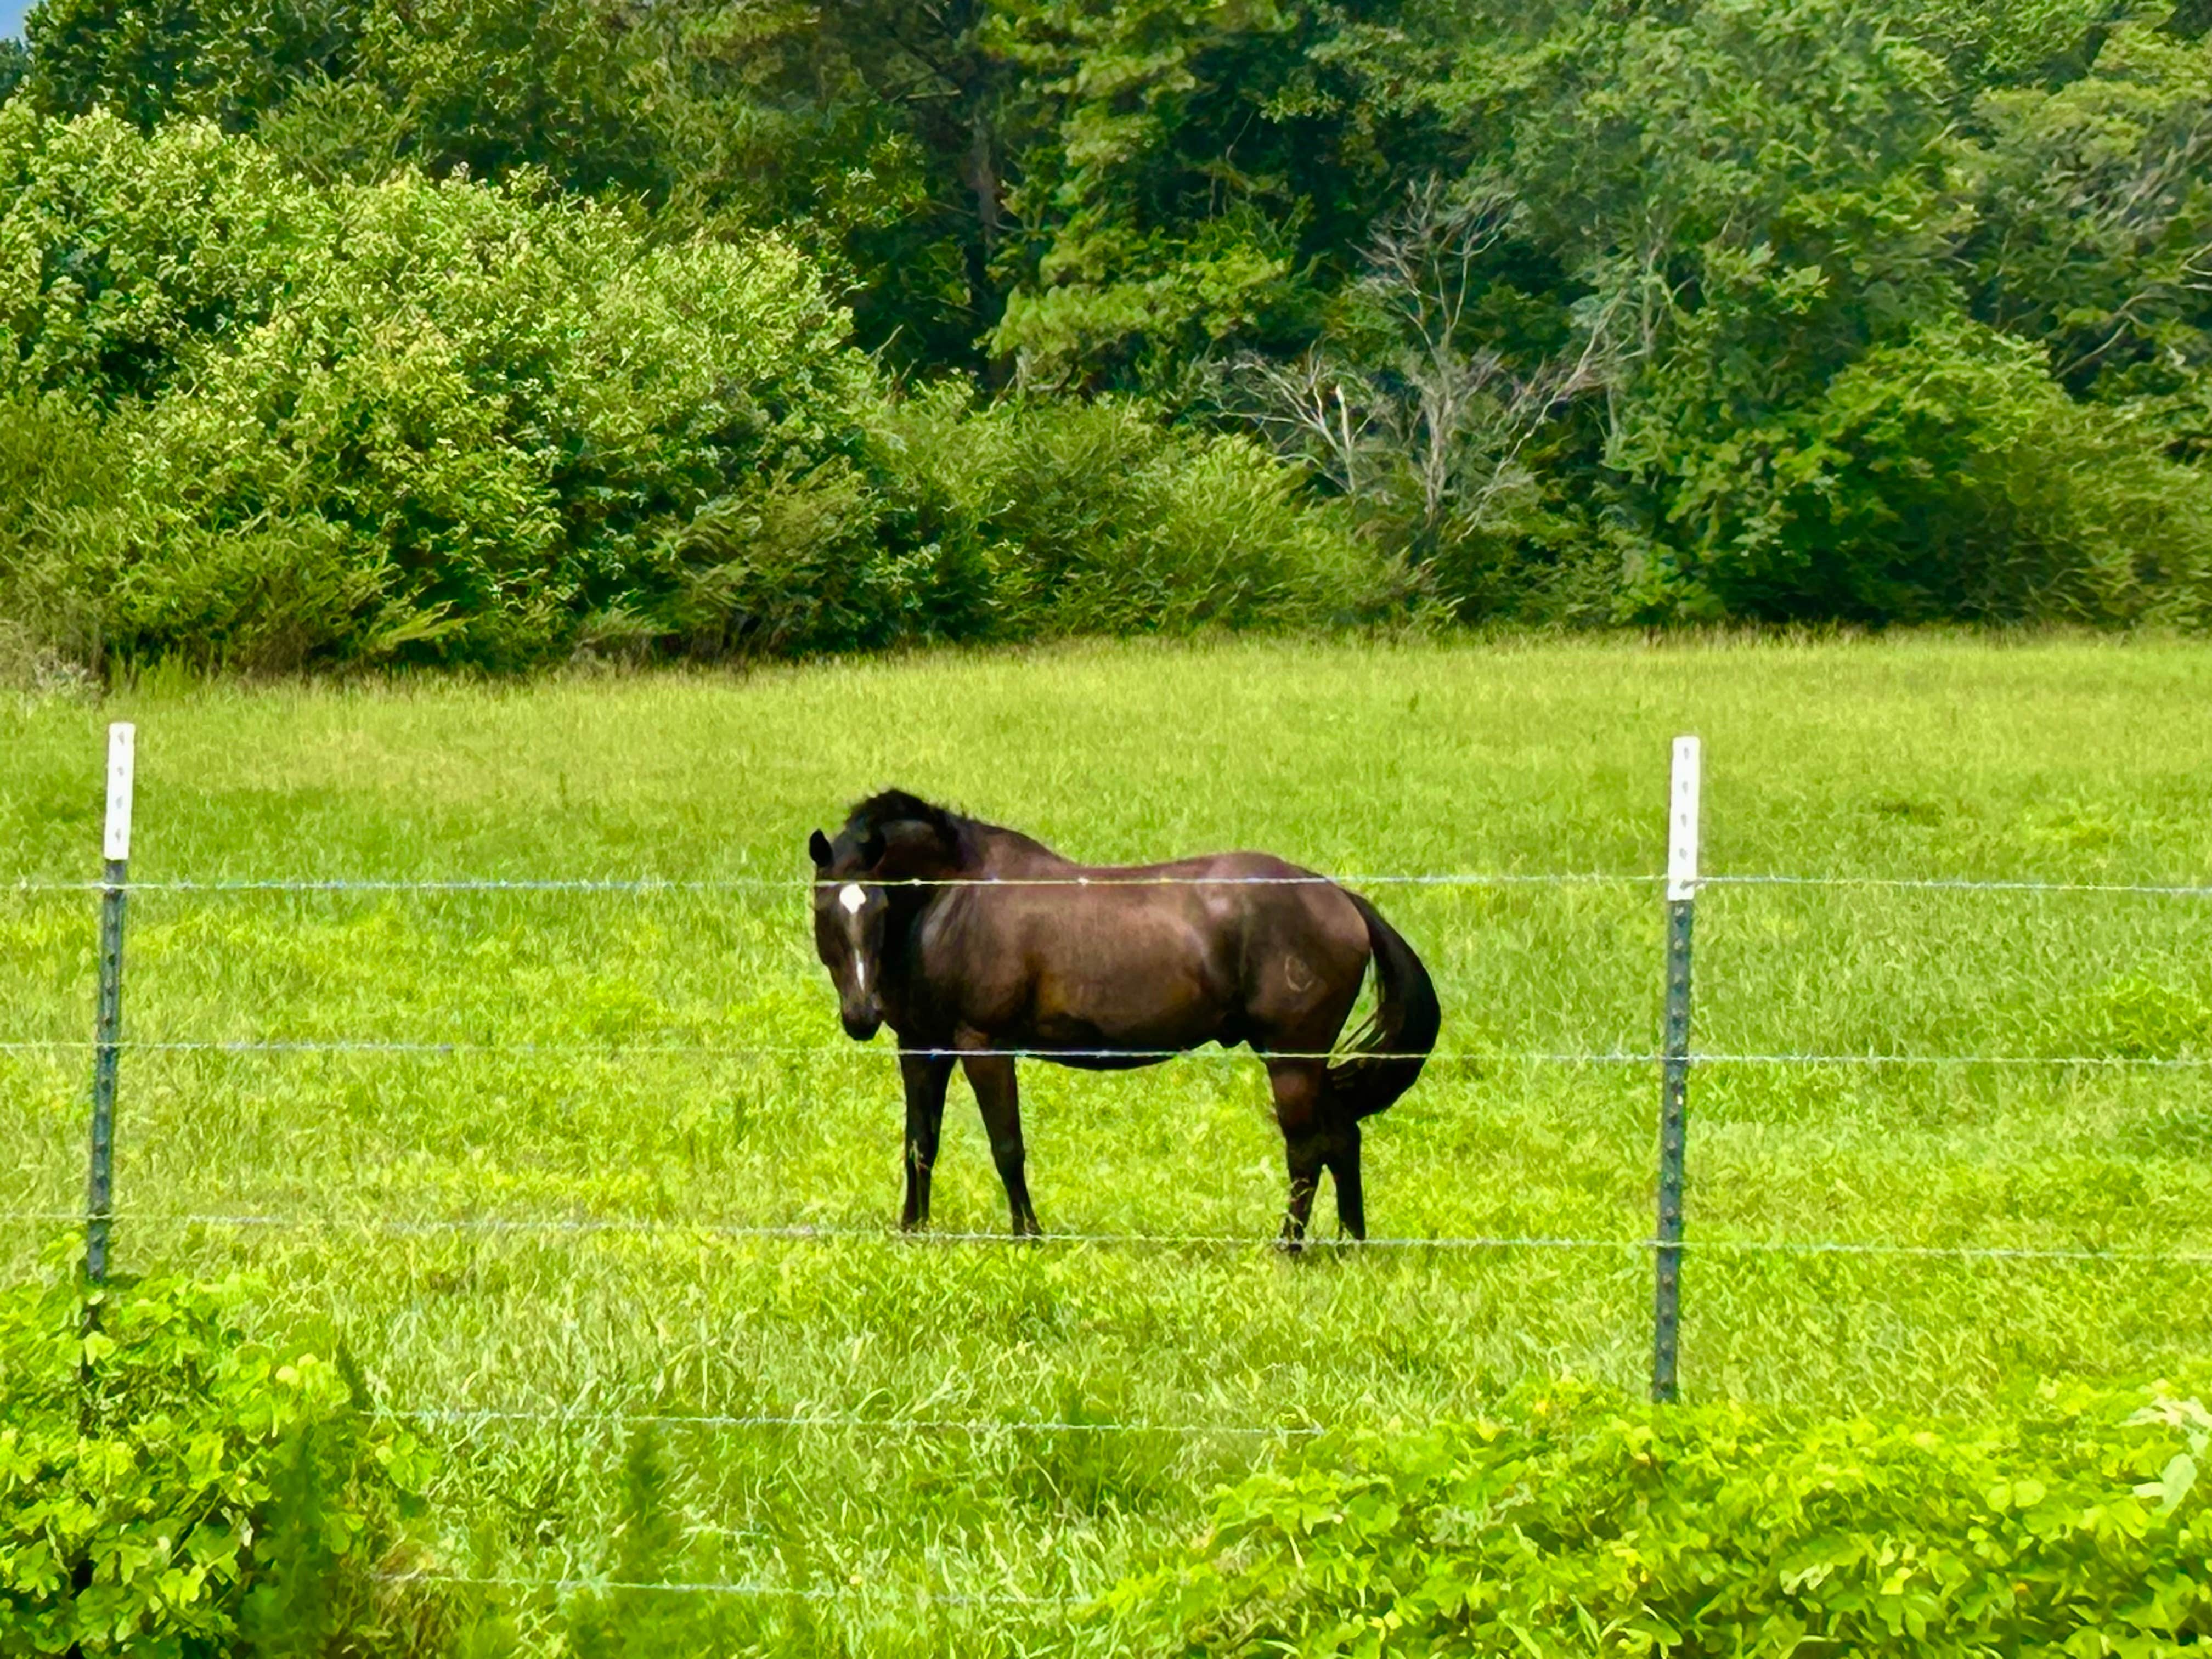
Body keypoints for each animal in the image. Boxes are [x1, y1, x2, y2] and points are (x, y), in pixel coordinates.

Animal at [805, 792, 1442, 1248]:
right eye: (823, 908)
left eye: (878, 905)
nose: (861, 1016)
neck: (956, 898)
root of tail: (1343, 901)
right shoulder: (920, 1046)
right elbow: (920, 1143)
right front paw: (912, 1232)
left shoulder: (984, 1046)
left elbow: (1008, 1146)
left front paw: (1028, 1236)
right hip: (1308, 1065)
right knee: (1343, 1138)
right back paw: (1350, 1244)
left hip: (1291, 1062)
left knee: (1308, 1150)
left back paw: (1288, 1247)